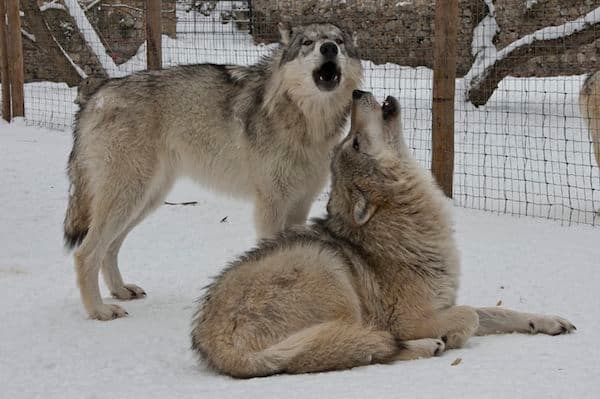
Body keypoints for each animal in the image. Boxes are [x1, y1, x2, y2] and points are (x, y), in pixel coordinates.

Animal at [62, 22, 360, 322]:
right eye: (308, 42)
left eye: (339, 42)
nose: (329, 48)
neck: (306, 121)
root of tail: (96, 98)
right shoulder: (271, 203)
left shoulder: (301, 203)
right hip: (128, 198)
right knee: (85, 253)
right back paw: (99, 310)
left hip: (145, 201)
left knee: (109, 248)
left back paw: (121, 291)